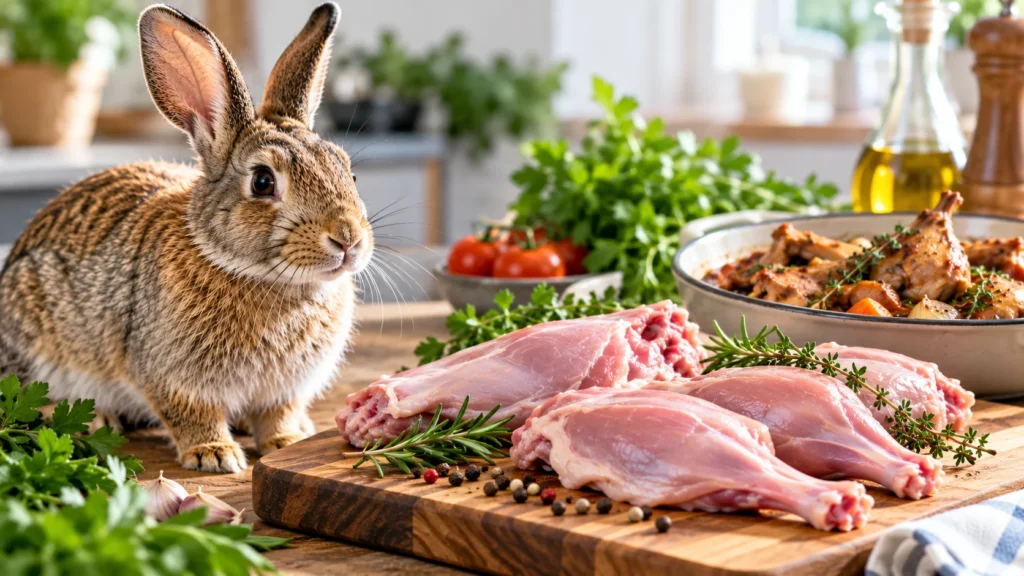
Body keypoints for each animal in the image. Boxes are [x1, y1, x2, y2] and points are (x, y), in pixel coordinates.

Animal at [0, 2, 370, 473]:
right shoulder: (173, 378)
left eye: (348, 171)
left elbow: (278, 414)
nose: (347, 240)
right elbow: (193, 414)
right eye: (263, 182)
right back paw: (96, 421)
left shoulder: (284, 389)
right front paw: (215, 455)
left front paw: (287, 441)